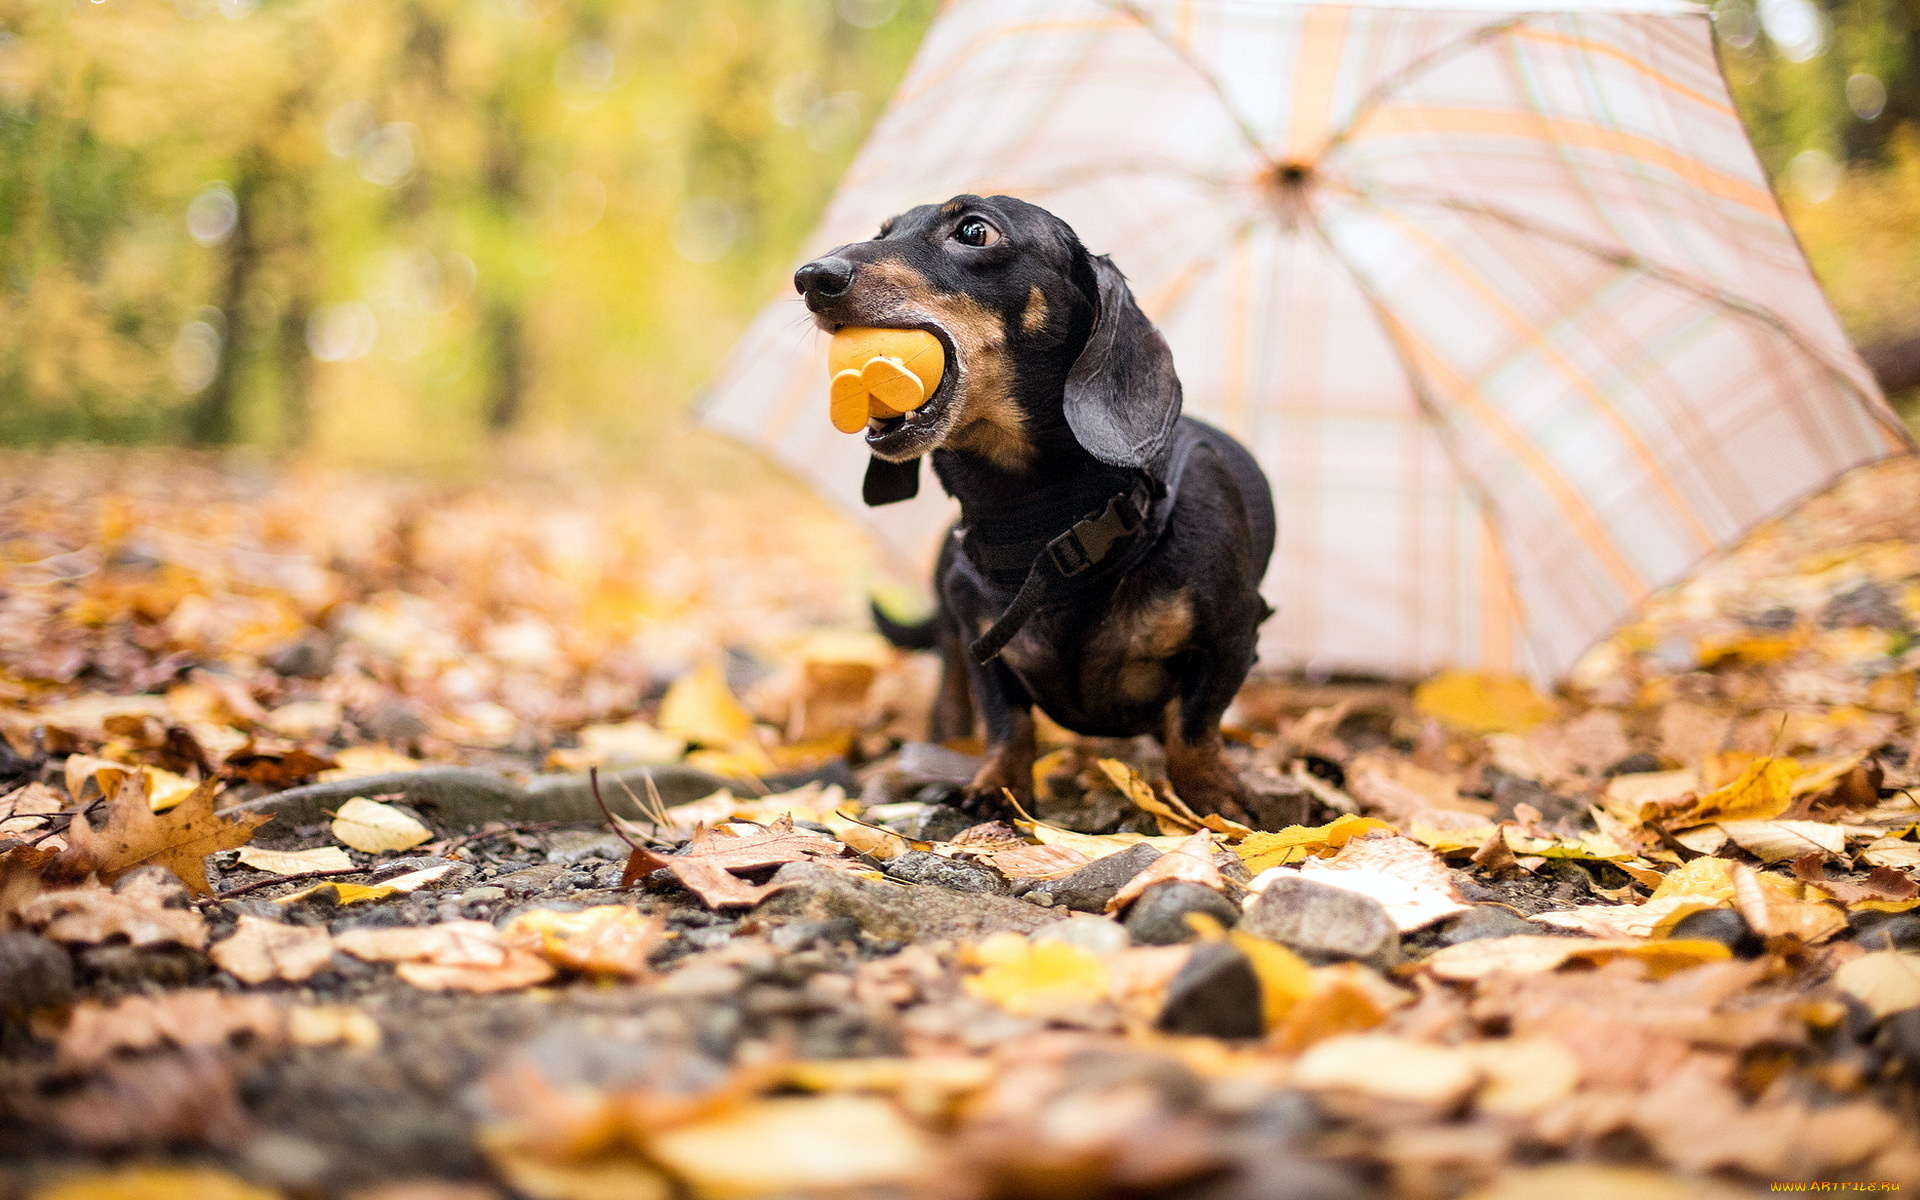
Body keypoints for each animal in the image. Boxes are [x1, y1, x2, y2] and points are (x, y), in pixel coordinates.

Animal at [794, 193, 1274, 821]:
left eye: (974, 231)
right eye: (883, 231)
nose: (811, 277)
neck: (1042, 520)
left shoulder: (1233, 636)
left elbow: (1193, 726)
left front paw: (1213, 798)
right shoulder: (983, 645)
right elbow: (1008, 723)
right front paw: (997, 788)